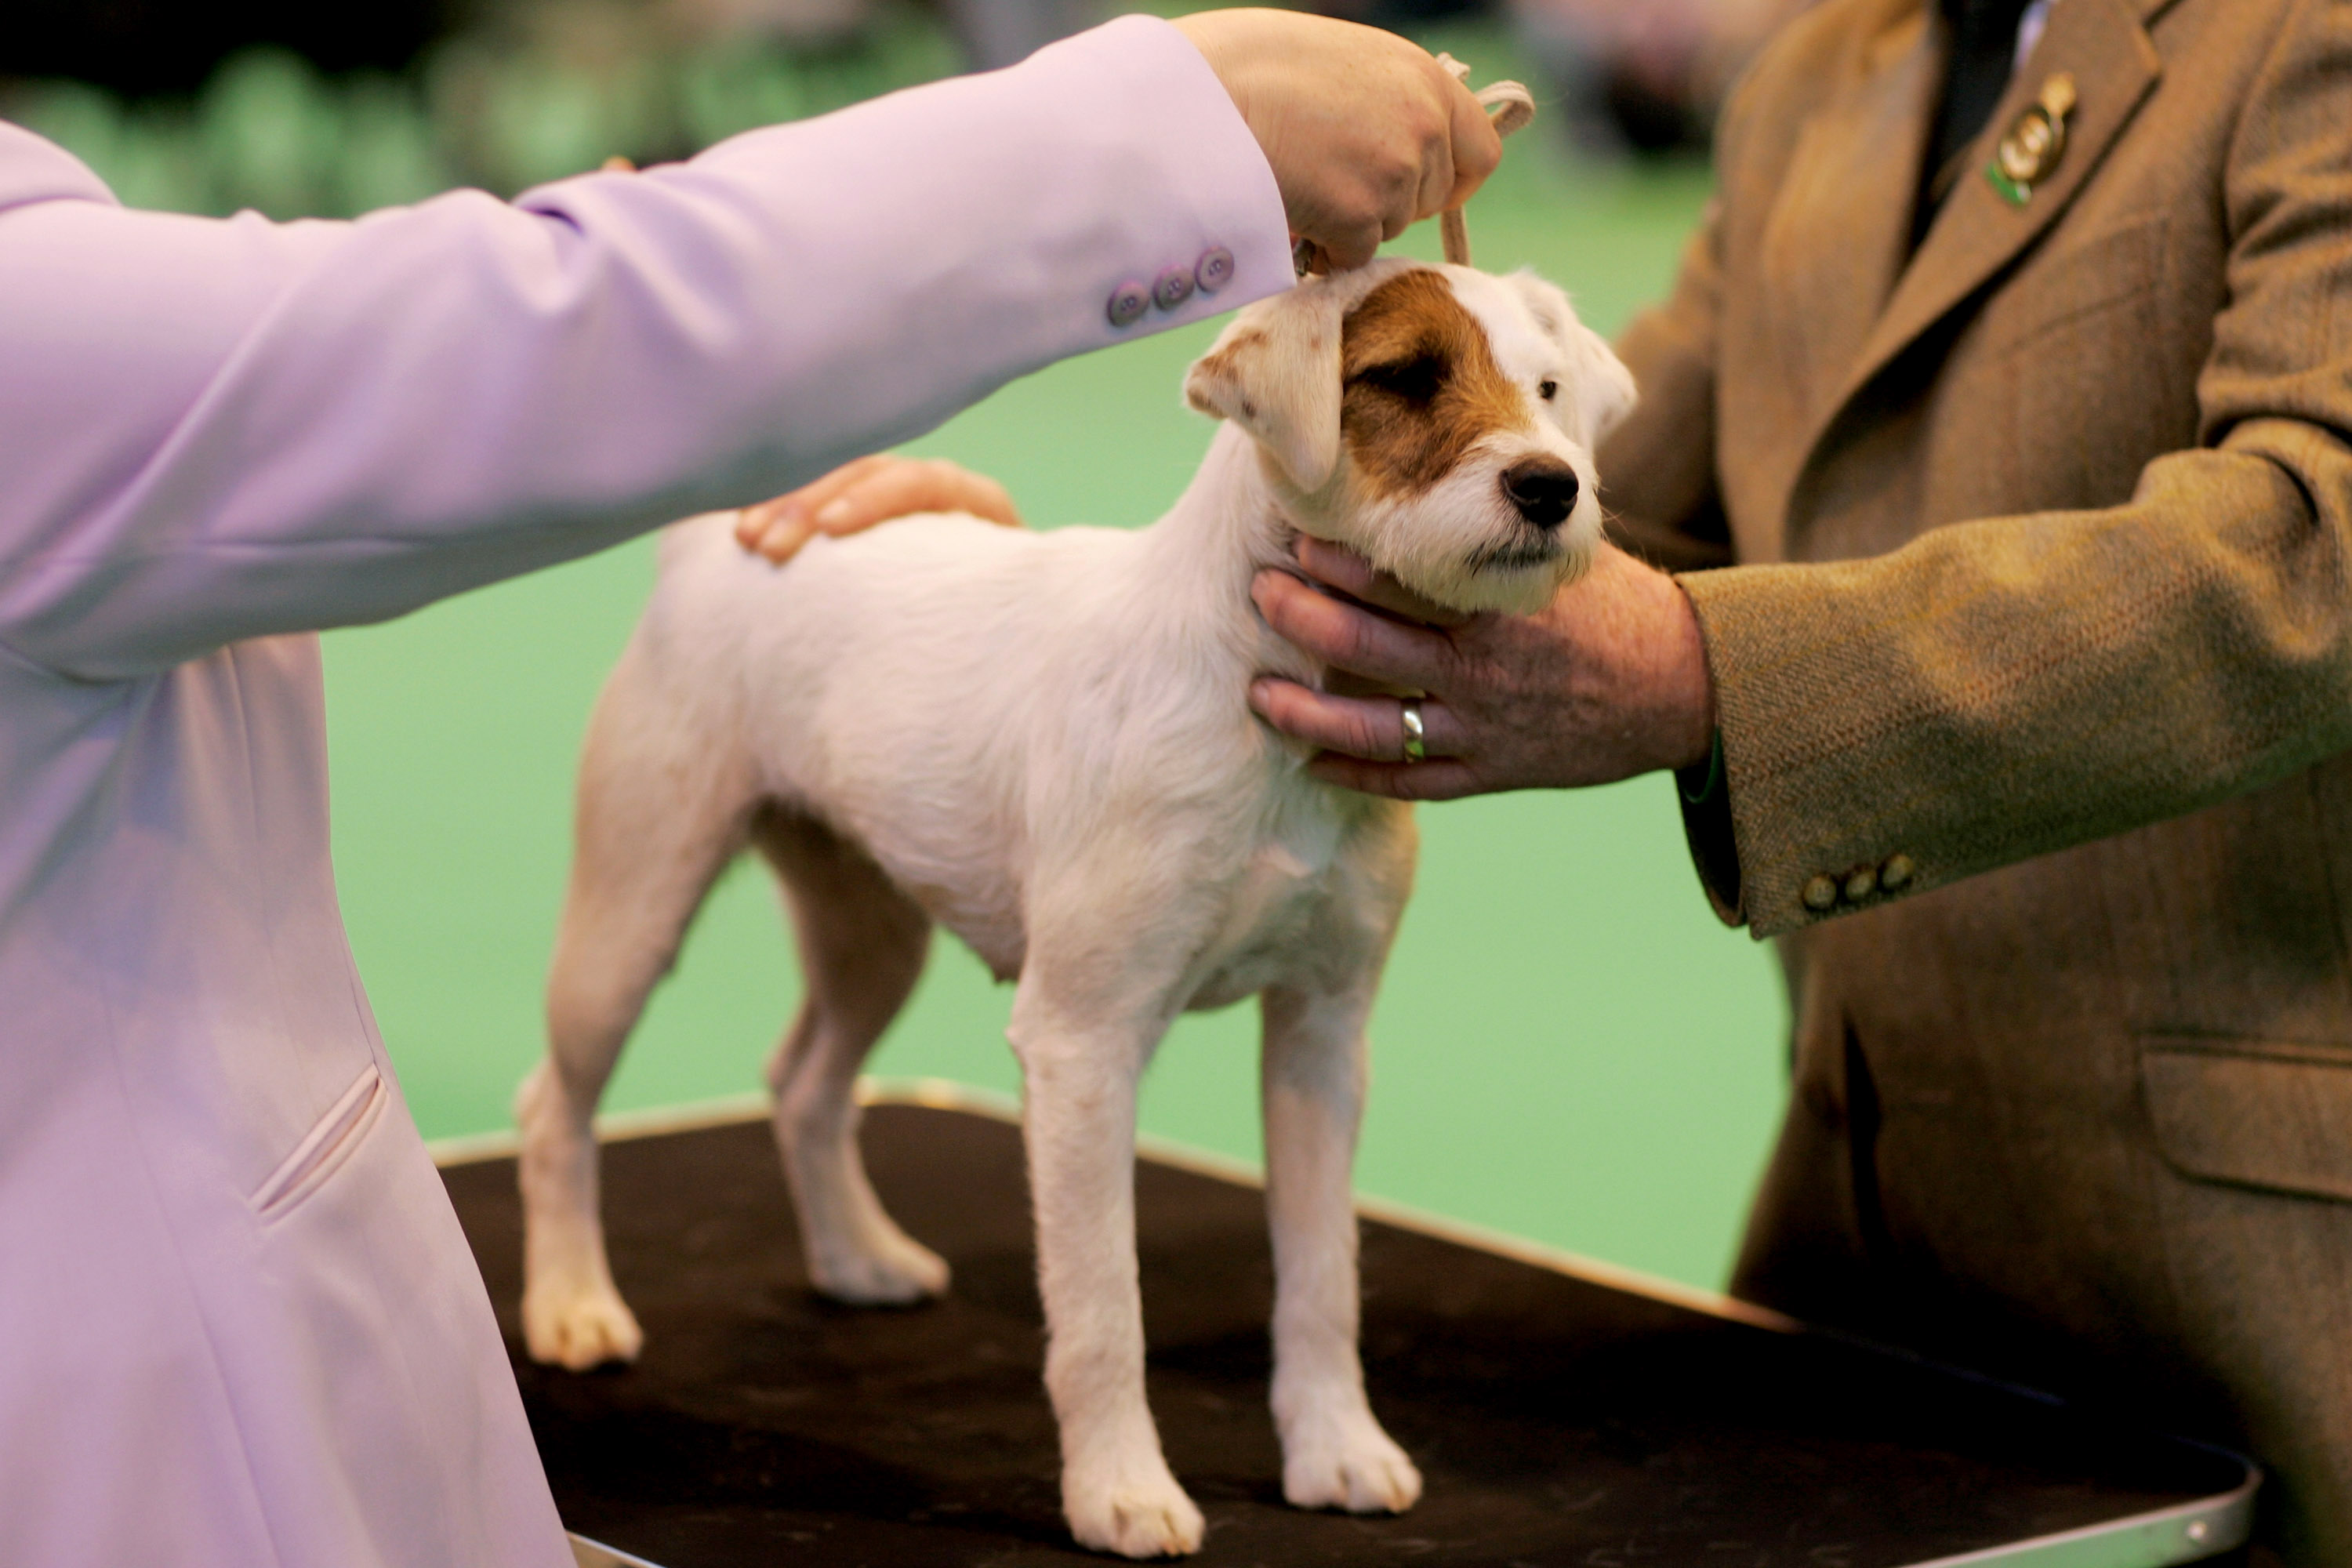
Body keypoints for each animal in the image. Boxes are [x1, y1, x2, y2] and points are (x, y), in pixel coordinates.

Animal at [515, 257, 1637, 1561]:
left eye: (1548, 389)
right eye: (1404, 378)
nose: (1551, 485)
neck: (1263, 699)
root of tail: (723, 544)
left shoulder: (1321, 1038)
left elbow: (1323, 1278)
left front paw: (1337, 1450)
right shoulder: (1084, 1046)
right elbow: (1104, 1307)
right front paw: (1122, 1491)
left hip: (871, 927)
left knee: (805, 1082)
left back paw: (856, 1258)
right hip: (631, 910)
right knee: (556, 1105)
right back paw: (574, 1305)